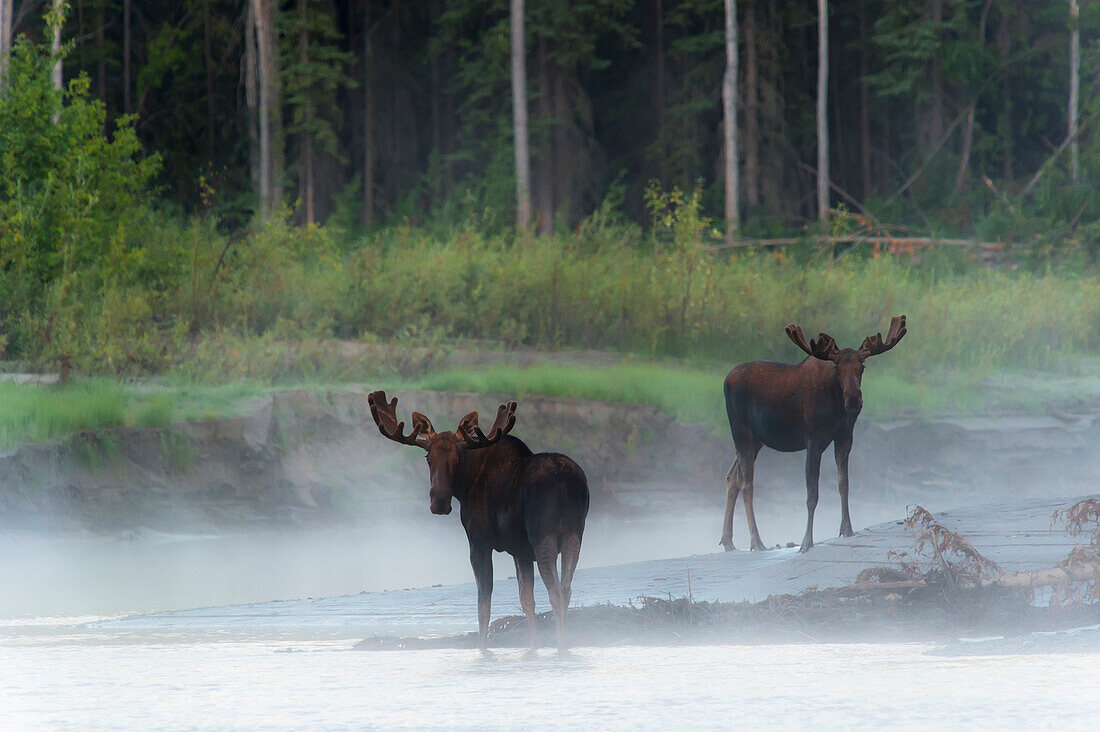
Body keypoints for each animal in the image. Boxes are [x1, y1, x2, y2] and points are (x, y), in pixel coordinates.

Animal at [367, 391, 594, 647]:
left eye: (457, 458)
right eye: (428, 457)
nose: (439, 501)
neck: (466, 486)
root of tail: (564, 479)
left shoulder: (479, 542)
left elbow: (483, 606)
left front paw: (482, 648)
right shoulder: (521, 551)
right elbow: (527, 600)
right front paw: (534, 645)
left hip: (543, 535)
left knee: (555, 590)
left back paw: (561, 643)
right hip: (574, 534)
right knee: (566, 589)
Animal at [717, 310, 906, 550]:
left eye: (862, 367)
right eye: (837, 369)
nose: (854, 399)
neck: (836, 407)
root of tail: (725, 380)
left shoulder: (845, 437)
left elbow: (844, 483)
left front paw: (847, 529)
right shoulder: (813, 441)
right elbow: (812, 495)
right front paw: (806, 541)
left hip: (757, 439)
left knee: (732, 476)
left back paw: (728, 541)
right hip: (740, 430)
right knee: (746, 483)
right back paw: (756, 541)